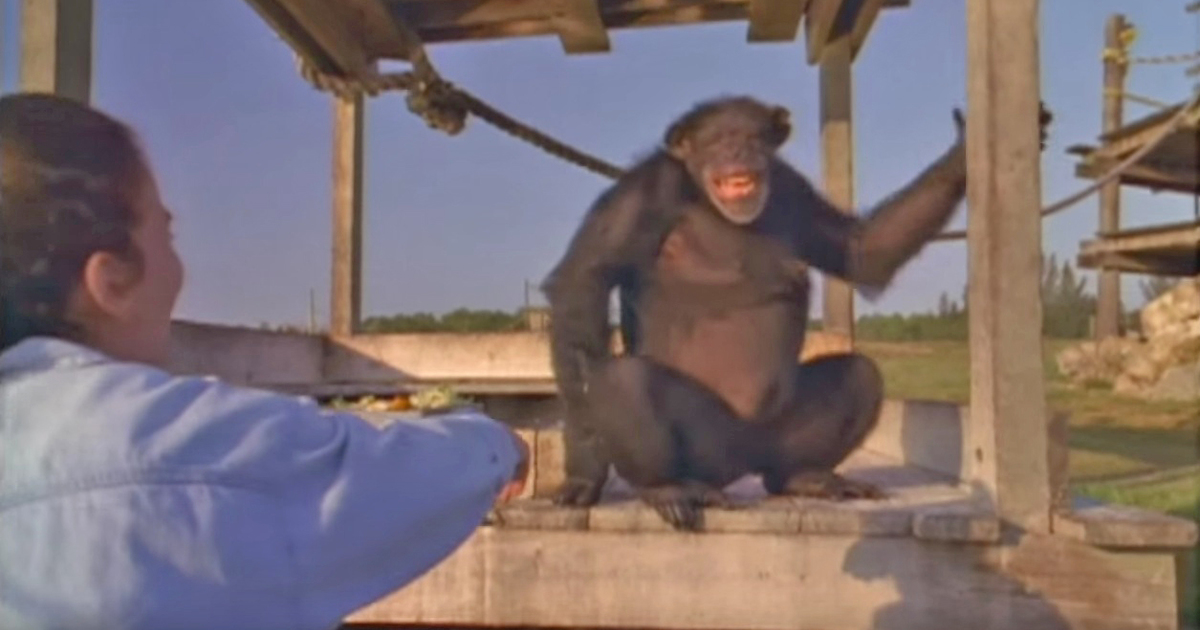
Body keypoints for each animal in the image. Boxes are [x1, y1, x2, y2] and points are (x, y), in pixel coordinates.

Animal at [541, 95, 1051, 531]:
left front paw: (965, 152)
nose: (738, 150)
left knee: (858, 377)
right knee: (620, 378)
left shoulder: (792, 187)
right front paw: (584, 473)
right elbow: (582, 284)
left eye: (751, 135)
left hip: (770, 442)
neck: (707, 200)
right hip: (704, 447)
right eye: (717, 139)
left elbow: (859, 251)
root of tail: (735, 469)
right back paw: (668, 488)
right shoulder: (643, 193)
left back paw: (808, 477)